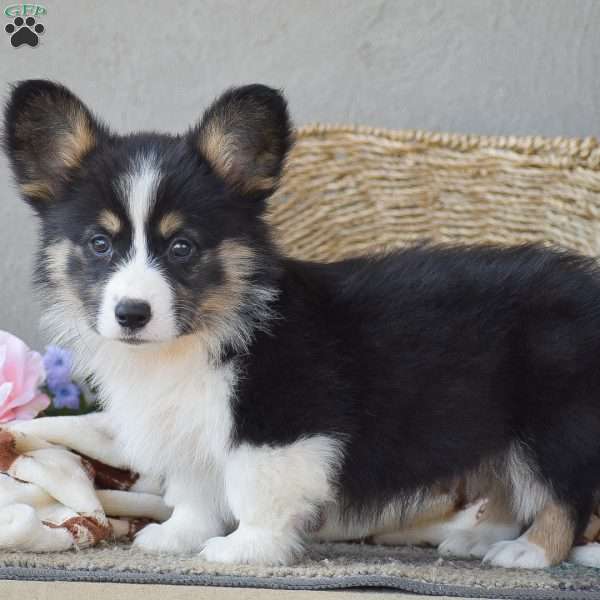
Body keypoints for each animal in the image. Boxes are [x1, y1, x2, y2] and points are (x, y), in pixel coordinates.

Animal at [7, 81, 600, 568]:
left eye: (181, 248)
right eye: (99, 244)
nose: (132, 313)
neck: (197, 336)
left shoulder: (279, 423)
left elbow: (254, 491)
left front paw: (245, 550)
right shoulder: (188, 427)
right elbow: (195, 489)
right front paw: (177, 538)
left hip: (553, 423)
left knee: (561, 494)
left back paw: (529, 553)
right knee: (506, 484)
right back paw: (479, 539)